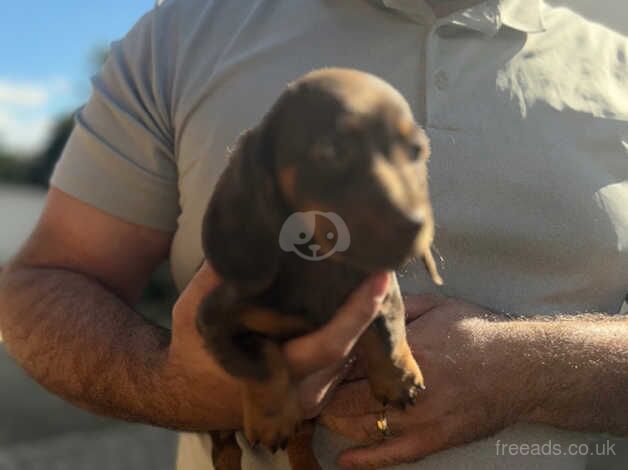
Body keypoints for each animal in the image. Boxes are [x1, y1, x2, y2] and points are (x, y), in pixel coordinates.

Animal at [196, 68, 442, 468]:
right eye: (332, 152)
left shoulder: (378, 286)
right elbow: (260, 361)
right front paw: (273, 417)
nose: (415, 225)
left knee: (300, 441)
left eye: (416, 151)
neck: (323, 266)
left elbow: (386, 325)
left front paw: (399, 376)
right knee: (225, 446)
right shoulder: (214, 320)